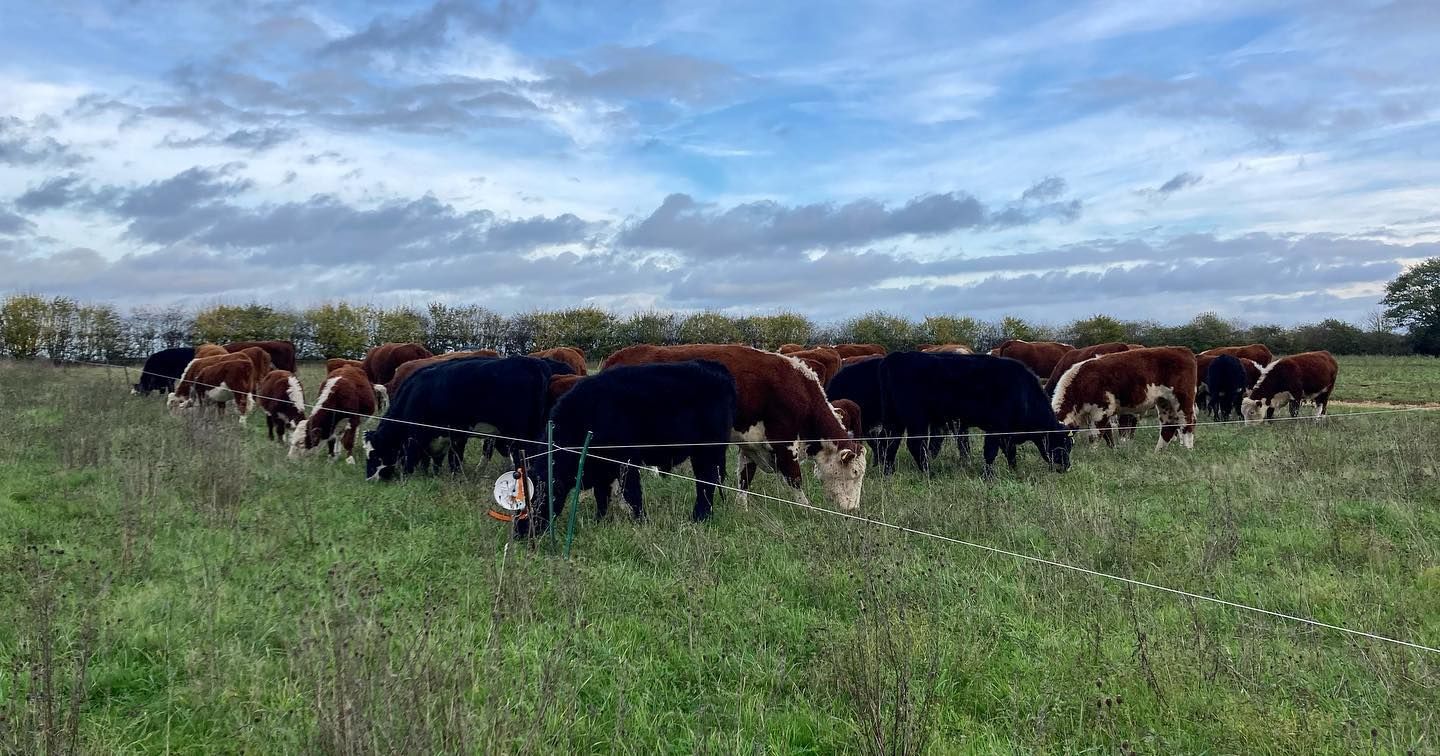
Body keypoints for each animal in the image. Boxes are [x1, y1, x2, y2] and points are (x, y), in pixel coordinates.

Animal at [364, 356, 552, 480]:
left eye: (374, 455)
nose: (369, 479)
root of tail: (531, 363)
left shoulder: (429, 433)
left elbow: (449, 458)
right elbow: (433, 459)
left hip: (518, 432)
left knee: (522, 455)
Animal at [520, 360, 738, 537]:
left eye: (533, 501)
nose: (520, 534)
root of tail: (715, 367)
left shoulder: (626, 461)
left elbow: (632, 494)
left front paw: (642, 521)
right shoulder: (602, 468)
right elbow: (602, 496)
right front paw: (599, 520)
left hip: (707, 451)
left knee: (706, 483)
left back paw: (700, 517)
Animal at [602, 344, 867, 511]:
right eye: (855, 473)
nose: (853, 509)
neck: (798, 390)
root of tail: (616, 358)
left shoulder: (750, 443)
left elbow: (745, 477)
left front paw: (742, 507)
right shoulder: (784, 442)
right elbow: (794, 478)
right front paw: (806, 508)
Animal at [878, 352, 1071, 477]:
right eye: (1062, 443)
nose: (1066, 466)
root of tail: (896, 357)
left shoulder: (1006, 432)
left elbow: (1010, 452)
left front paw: (1014, 470)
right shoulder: (995, 428)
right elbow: (991, 452)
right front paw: (988, 475)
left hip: (894, 419)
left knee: (889, 442)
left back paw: (888, 471)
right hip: (916, 418)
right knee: (915, 444)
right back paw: (928, 472)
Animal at [1052, 346, 1198, 451]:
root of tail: (1183, 350)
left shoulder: (1102, 410)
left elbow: (1095, 435)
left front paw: (1093, 453)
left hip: (1182, 399)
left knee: (1188, 422)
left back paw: (1187, 449)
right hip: (1164, 401)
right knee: (1169, 425)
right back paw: (1158, 452)